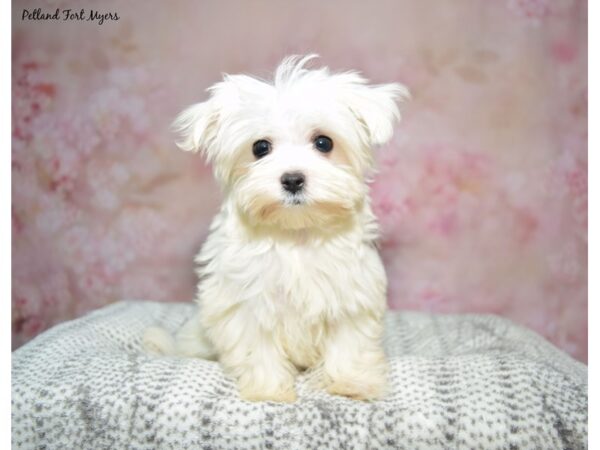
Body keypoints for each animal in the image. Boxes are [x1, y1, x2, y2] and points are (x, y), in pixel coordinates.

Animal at [143, 54, 410, 402]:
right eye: (260, 148)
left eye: (324, 142)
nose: (293, 179)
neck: (295, 233)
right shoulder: (245, 303)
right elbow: (257, 349)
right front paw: (269, 390)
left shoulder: (350, 294)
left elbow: (349, 343)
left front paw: (352, 383)